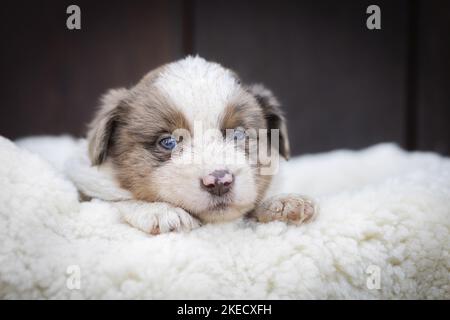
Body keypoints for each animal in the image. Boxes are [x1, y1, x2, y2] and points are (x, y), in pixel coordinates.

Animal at [85, 56, 316, 234]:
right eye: (168, 142)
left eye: (238, 135)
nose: (219, 182)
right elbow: (114, 201)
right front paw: (160, 211)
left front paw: (283, 202)